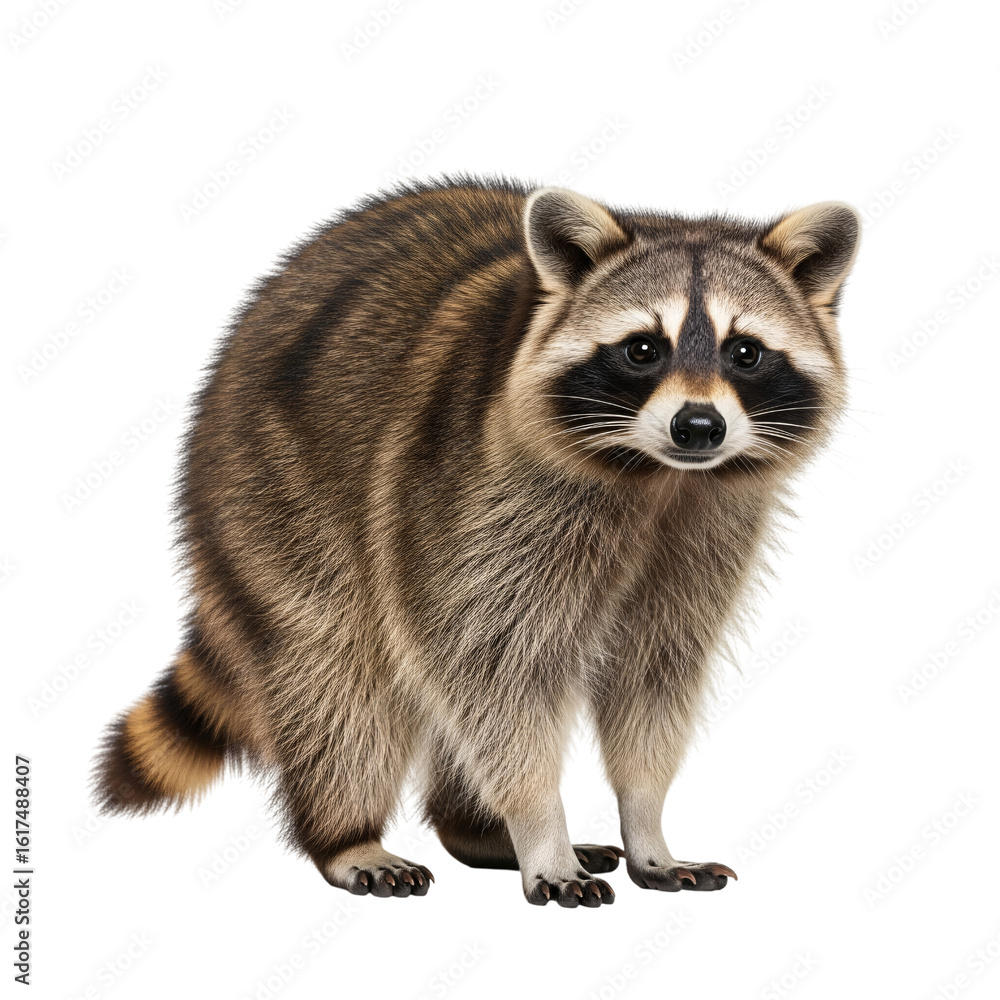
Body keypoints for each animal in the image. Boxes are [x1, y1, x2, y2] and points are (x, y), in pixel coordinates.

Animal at [93, 177, 859, 907]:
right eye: (643, 349)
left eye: (745, 352)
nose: (698, 426)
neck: (657, 478)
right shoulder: (469, 491)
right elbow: (494, 671)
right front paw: (539, 827)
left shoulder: (709, 528)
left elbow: (653, 674)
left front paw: (646, 822)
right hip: (270, 491)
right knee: (337, 672)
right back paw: (348, 835)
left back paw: (472, 827)